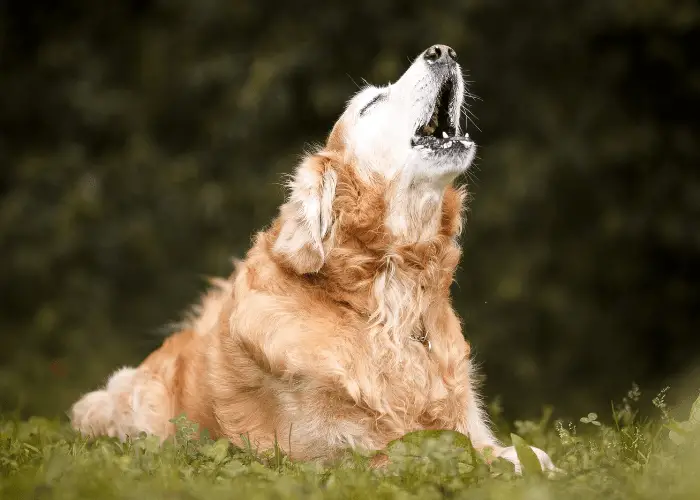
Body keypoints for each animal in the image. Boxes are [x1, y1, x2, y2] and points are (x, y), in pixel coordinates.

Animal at [71, 44, 556, 472]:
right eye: (371, 103)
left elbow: (505, 450)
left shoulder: (465, 423)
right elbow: (428, 455)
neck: (387, 298)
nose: (444, 51)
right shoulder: (331, 455)